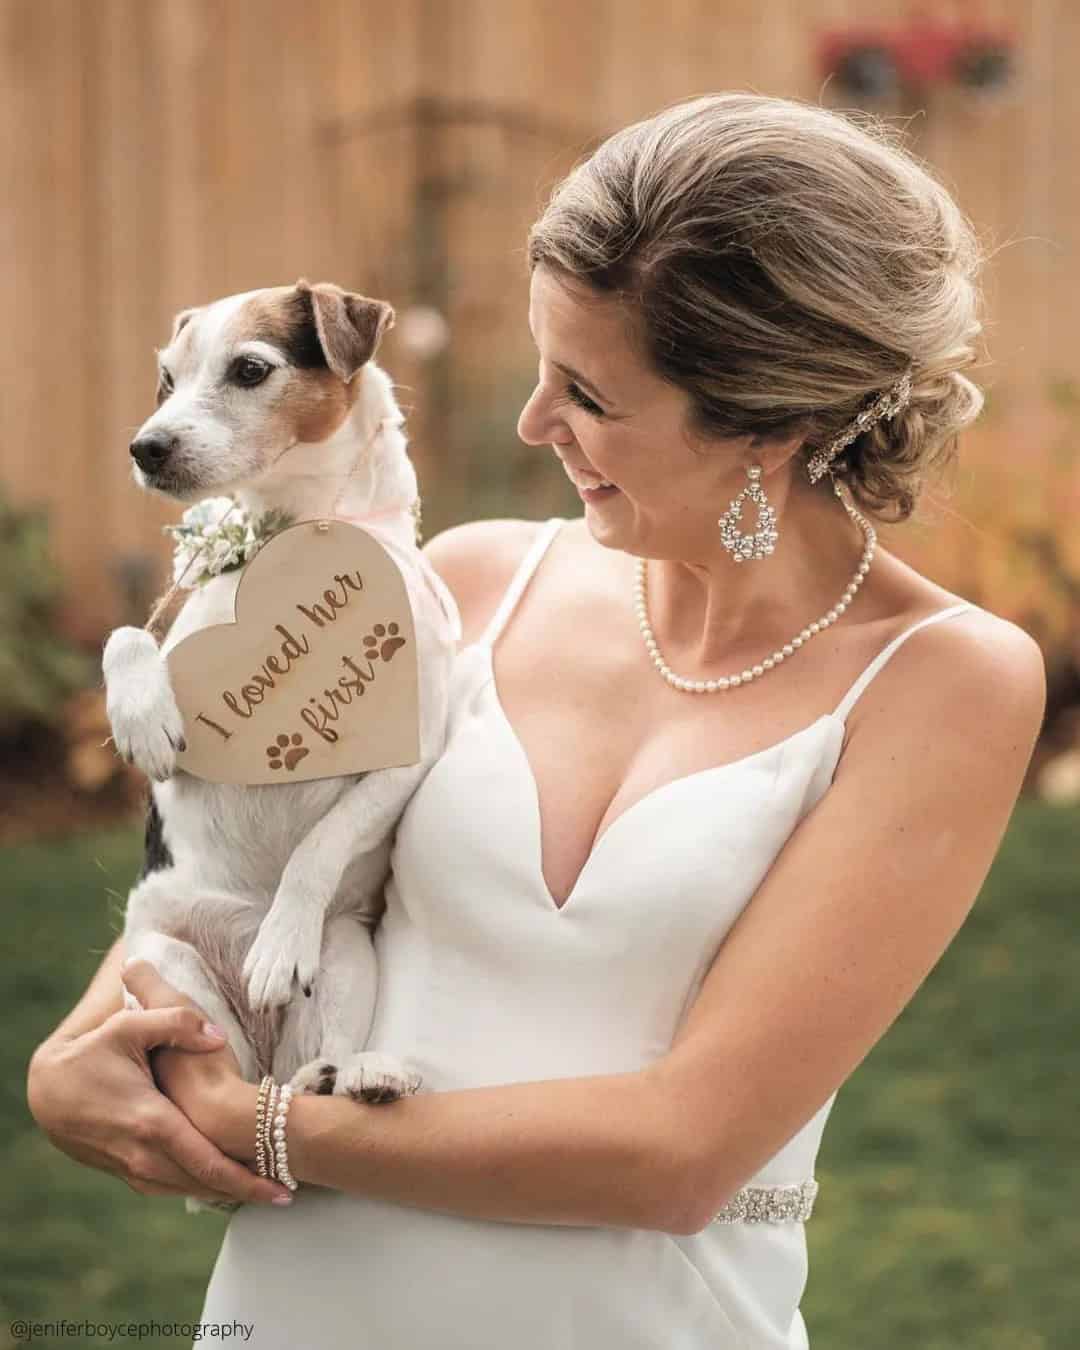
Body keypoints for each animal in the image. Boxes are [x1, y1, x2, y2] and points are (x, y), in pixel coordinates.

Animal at [108, 279, 459, 1112]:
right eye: (167, 378)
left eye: (249, 370)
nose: (145, 447)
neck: (294, 534)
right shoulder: (175, 620)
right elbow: (127, 635)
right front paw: (141, 722)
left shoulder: (410, 756)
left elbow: (319, 845)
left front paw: (280, 940)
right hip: (164, 962)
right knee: (220, 1073)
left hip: (347, 958)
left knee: (300, 1072)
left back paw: (353, 1074)